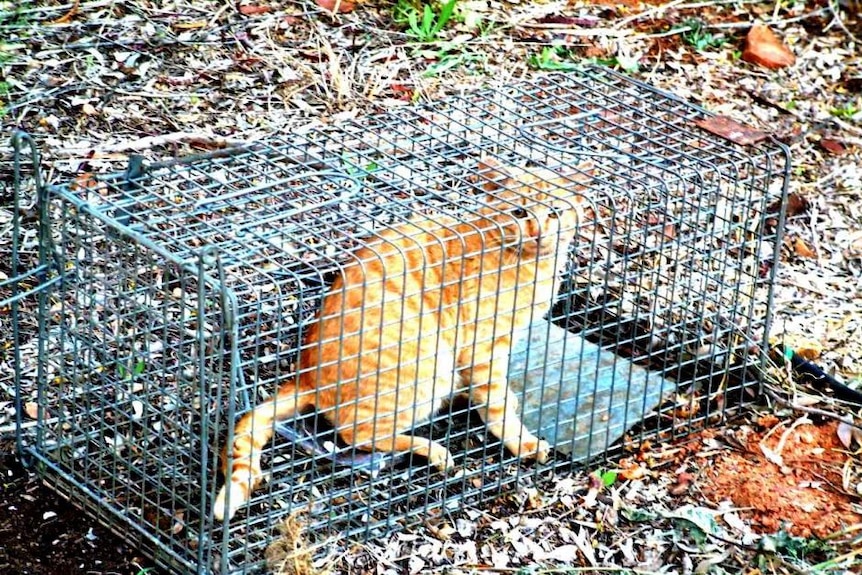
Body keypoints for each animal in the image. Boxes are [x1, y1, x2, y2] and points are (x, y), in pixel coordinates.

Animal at [215, 158, 592, 520]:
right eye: (520, 213)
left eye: (554, 212)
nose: (539, 233)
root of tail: (305, 376)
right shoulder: (483, 348)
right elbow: (496, 406)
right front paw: (521, 442)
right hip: (429, 367)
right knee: (359, 435)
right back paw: (432, 449)